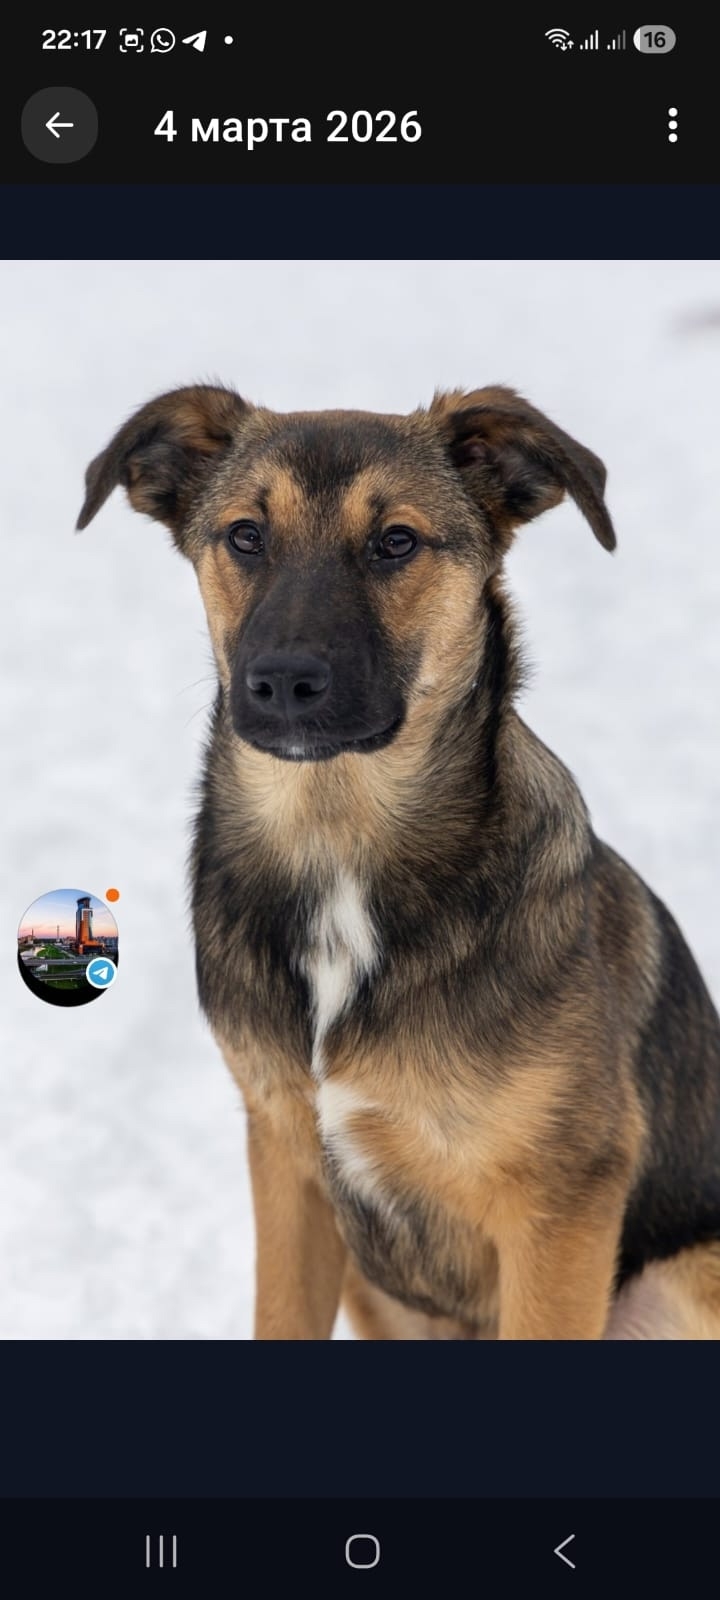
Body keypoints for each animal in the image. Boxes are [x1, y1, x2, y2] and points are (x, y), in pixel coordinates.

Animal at [78, 383, 720, 1339]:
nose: (283, 682)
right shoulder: (288, 1162)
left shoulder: (563, 1205)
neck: (338, 844)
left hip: (682, 1274)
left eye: (396, 542)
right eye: (245, 535)